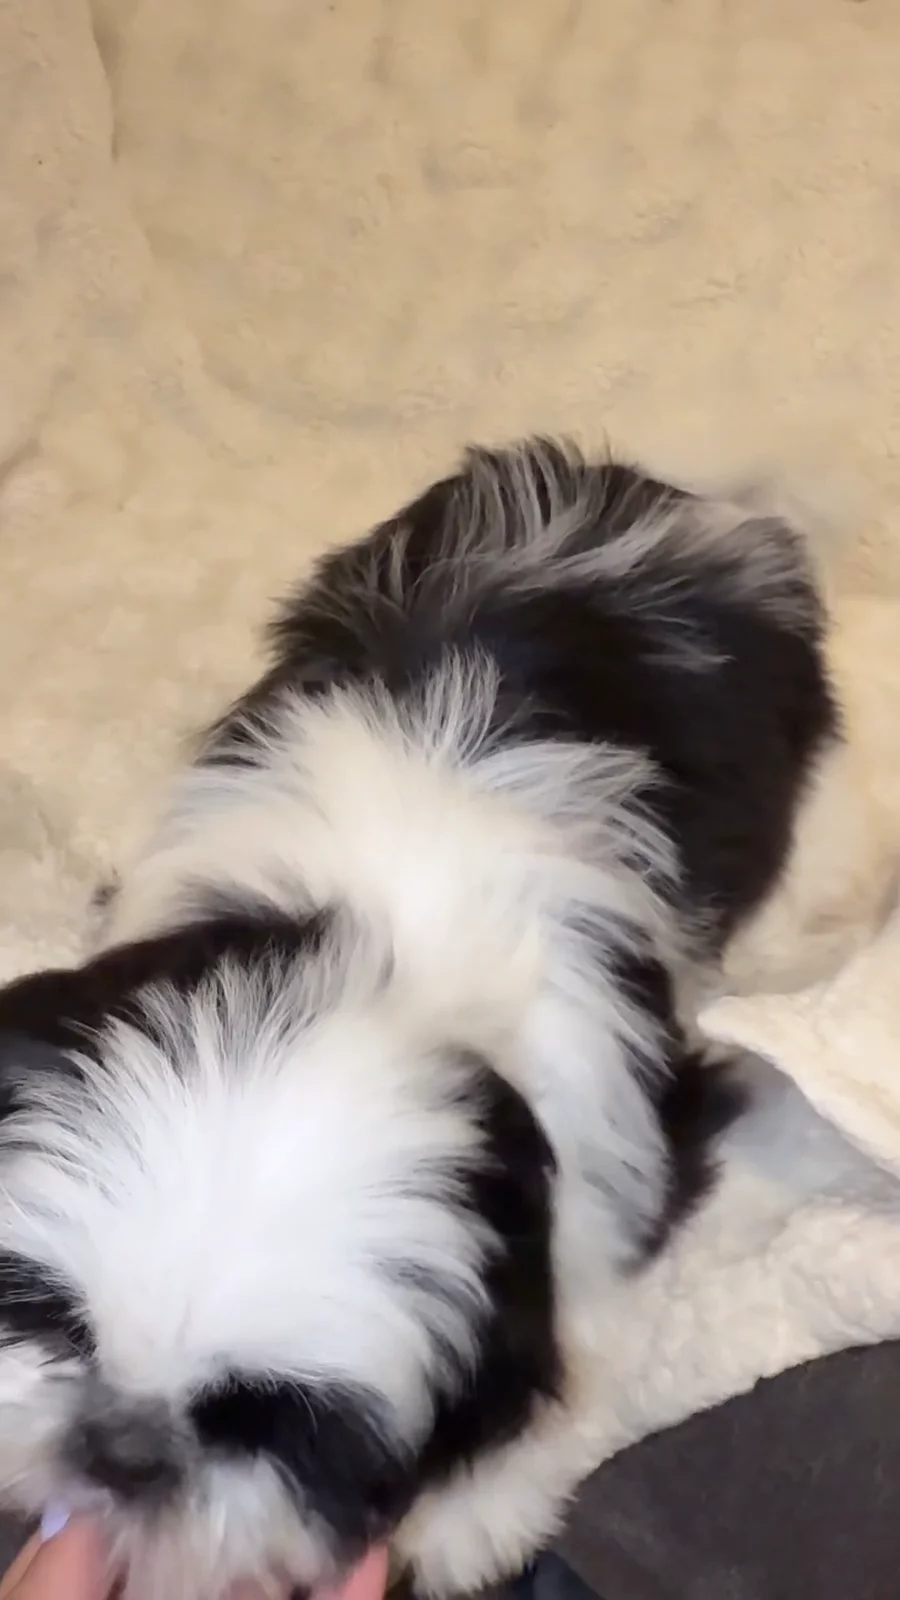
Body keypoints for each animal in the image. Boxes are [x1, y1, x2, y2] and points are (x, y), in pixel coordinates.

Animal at [0, 440, 837, 1600]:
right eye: (55, 1321)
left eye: (269, 1422)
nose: (119, 1448)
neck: (382, 979)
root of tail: (627, 495)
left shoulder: (618, 1163)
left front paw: (476, 1509)